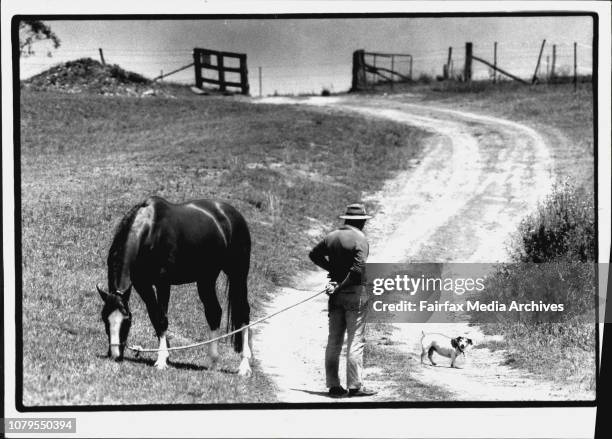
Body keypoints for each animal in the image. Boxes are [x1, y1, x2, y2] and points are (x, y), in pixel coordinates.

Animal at [94, 198, 252, 376]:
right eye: (104, 319)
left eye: (127, 320)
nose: (115, 355)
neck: (150, 230)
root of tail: (233, 214)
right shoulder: (143, 285)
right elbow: (154, 316)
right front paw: (166, 355)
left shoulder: (163, 284)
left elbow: (162, 318)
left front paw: (162, 360)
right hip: (206, 278)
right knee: (214, 312)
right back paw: (213, 361)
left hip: (238, 274)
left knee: (243, 314)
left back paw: (244, 366)